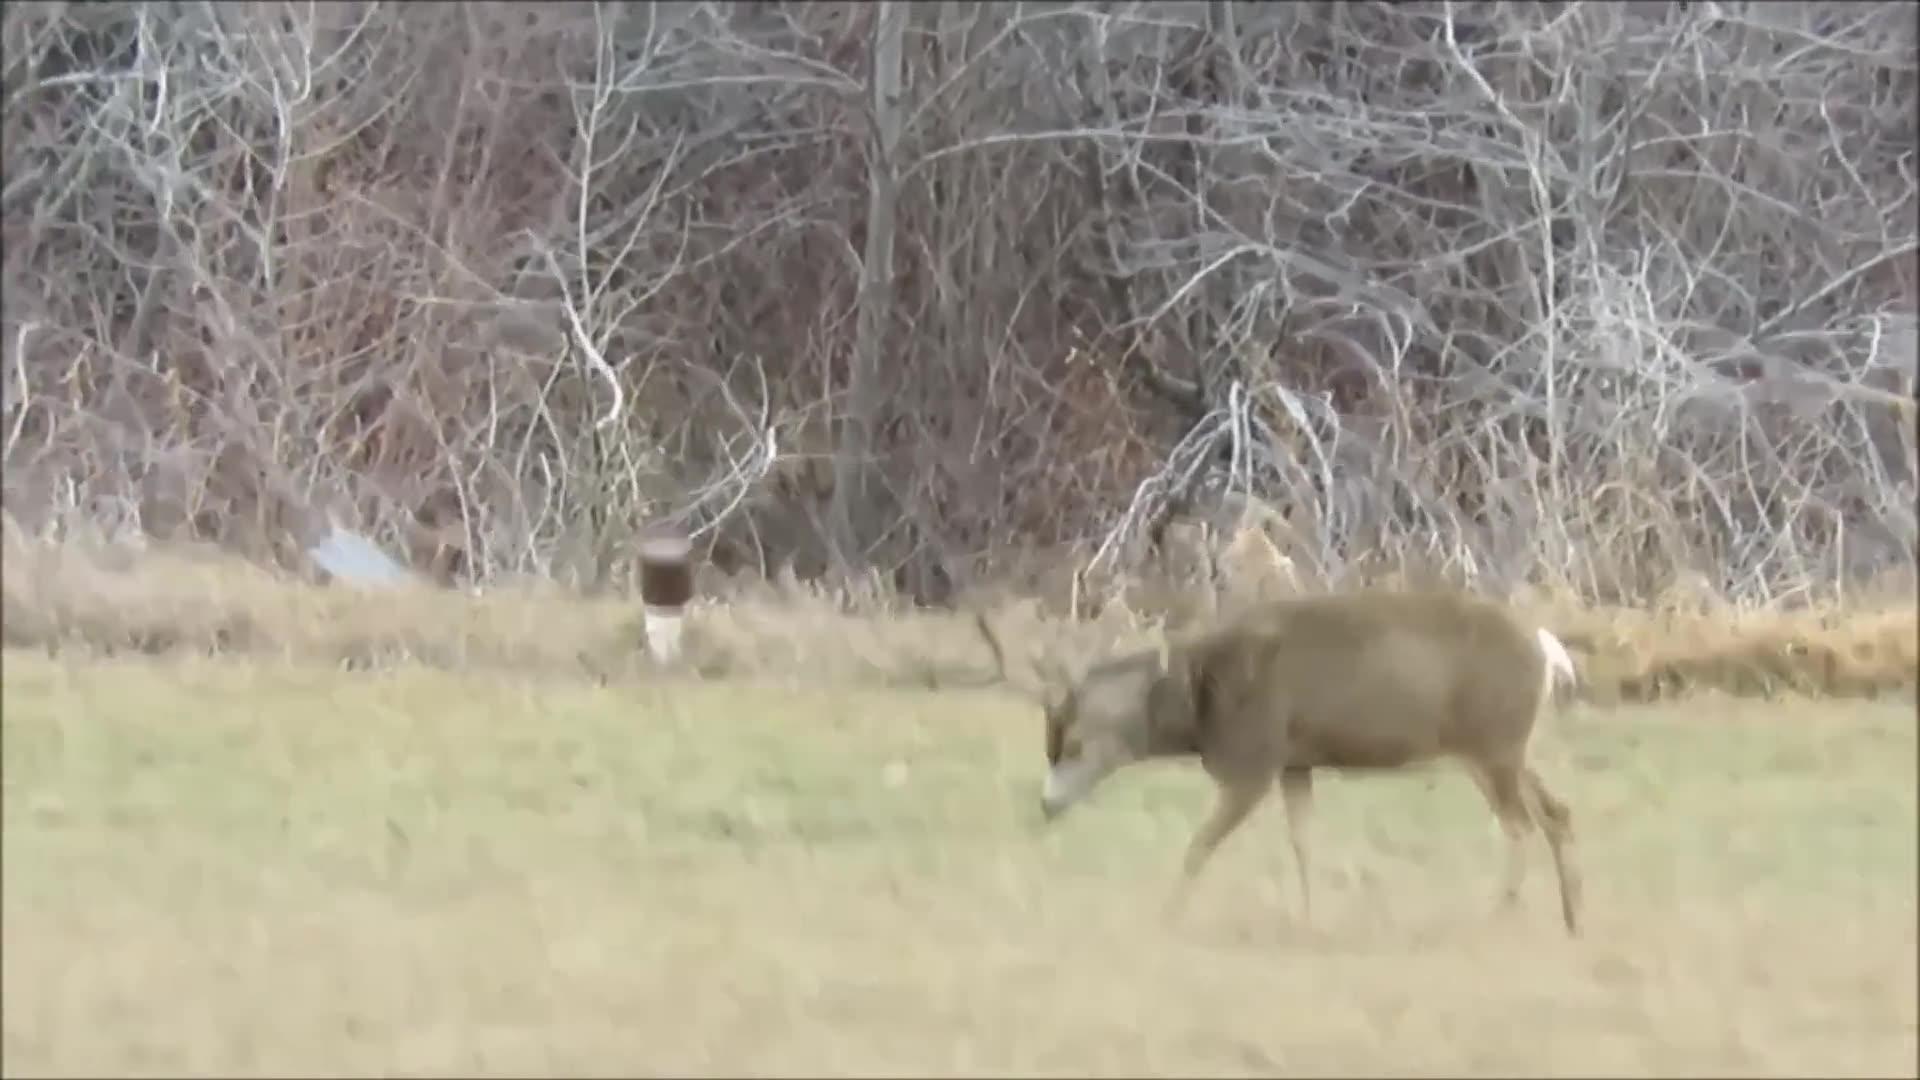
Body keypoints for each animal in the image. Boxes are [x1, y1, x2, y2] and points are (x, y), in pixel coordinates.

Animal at [975, 588, 1585, 935]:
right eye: (1049, 745)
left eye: (1075, 743)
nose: (1047, 804)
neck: (1200, 699)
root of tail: (1546, 646)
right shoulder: (1296, 763)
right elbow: (1303, 841)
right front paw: (1311, 921)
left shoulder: (1255, 759)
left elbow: (1200, 846)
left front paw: (1165, 918)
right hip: (1508, 747)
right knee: (1557, 812)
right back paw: (1572, 919)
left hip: (1491, 743)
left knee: (1520, 825)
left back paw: (1497, 919)